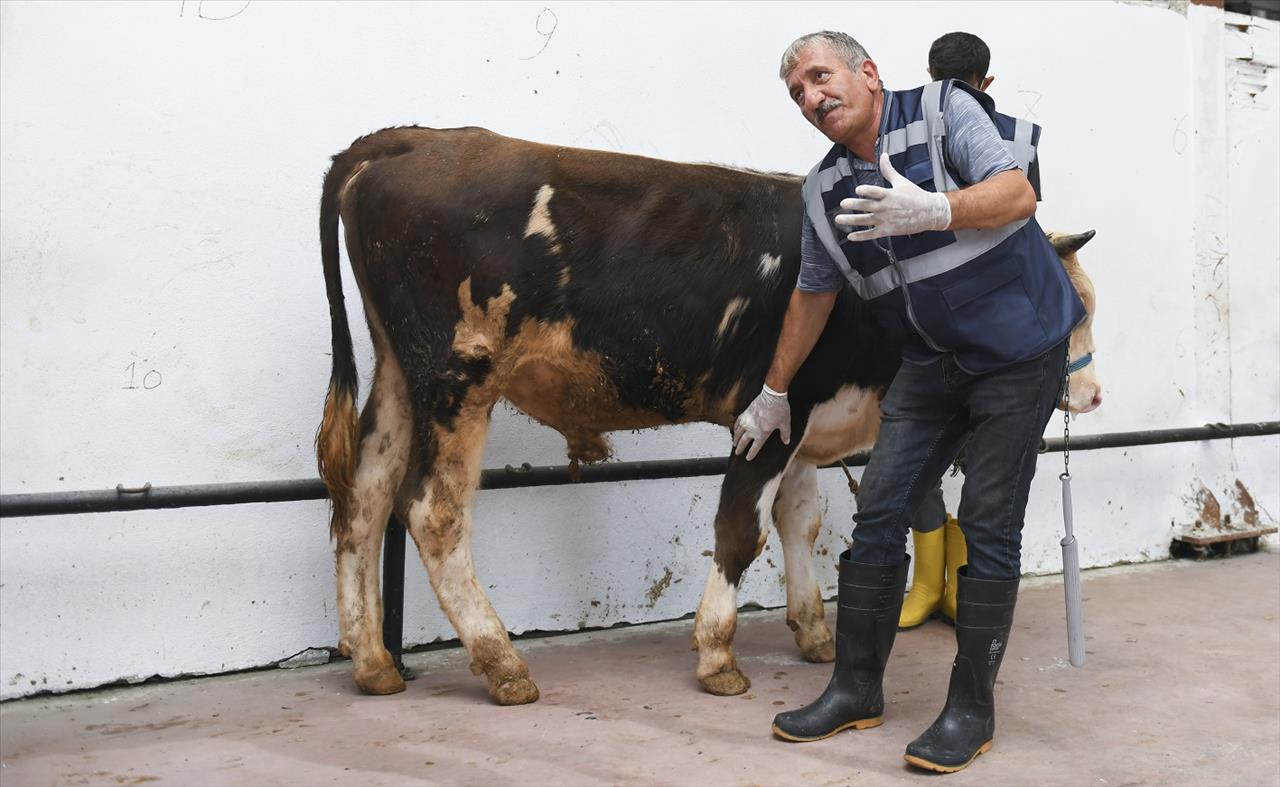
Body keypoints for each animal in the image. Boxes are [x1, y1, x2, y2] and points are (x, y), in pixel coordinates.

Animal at [312, 126, 1100, 706]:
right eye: (1076, 308)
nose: (1092, 396)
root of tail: (404, 141)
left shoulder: (805, 421)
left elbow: (800, 521)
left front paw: (815, 633)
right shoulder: (776, 409)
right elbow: (741, 530)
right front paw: (717, 652)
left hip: (399, 374)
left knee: (365, 498)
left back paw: (374, 662)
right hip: (457, 376)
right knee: (432, 510)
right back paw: (501, 661)